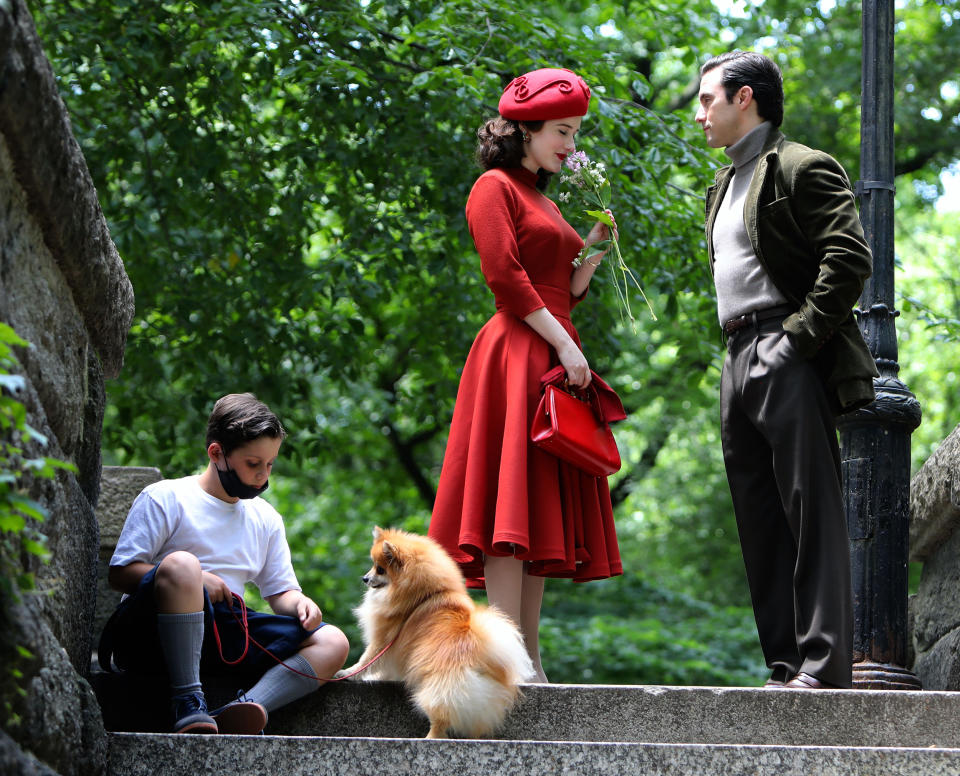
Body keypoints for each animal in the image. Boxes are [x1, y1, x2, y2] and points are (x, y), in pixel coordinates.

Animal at [336, 524, 532, 736]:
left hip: (440, 687)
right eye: (373, 566)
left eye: (380, 569)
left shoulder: (384, 639)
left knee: (441, 714)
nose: (364, 578)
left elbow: (368, 659)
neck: (426, 595)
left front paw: (349, 673)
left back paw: (430, 737)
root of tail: (479, 651)